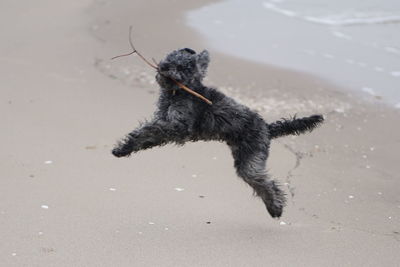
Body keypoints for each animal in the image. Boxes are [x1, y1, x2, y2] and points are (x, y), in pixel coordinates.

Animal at [111, 48, 324, 219]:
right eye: (170, 58)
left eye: (183, 67)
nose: (164, 67)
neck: (182, 91)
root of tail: (267, 127)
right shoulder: (166, 121)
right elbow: (148, 136)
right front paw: (124, 148)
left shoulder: (179, 126)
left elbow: (150, 130)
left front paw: (129, 141)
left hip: (250, 161)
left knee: (267, 183)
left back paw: (275, 208)